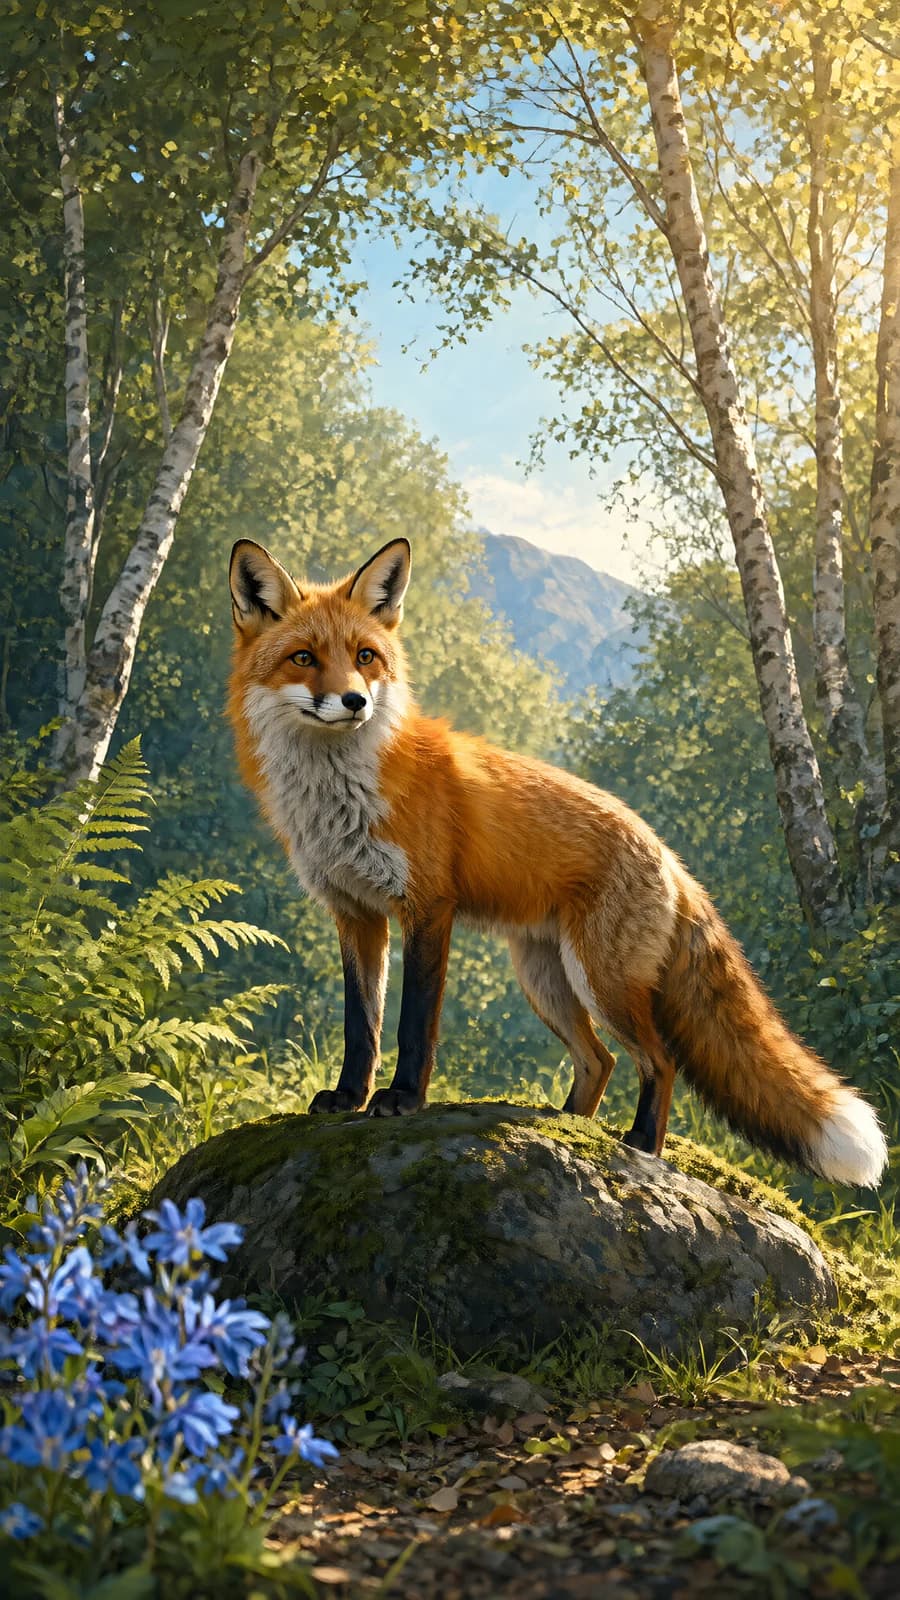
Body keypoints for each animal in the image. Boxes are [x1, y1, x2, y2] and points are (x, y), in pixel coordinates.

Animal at [227, 535, 887, 1188]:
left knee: (658, 1060)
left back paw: (639, 1146)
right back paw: (566, 1129)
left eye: (365, 656)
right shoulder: (356, 914)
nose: (355, 701)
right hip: (546, 979)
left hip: (601, 981)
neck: (341, 797)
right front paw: (348, 1098)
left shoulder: (428, 908)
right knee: (600, 1061)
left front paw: (404, 1099)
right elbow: (360, 1025)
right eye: (304, 658)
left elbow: (415, 1024)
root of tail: (669, 856)